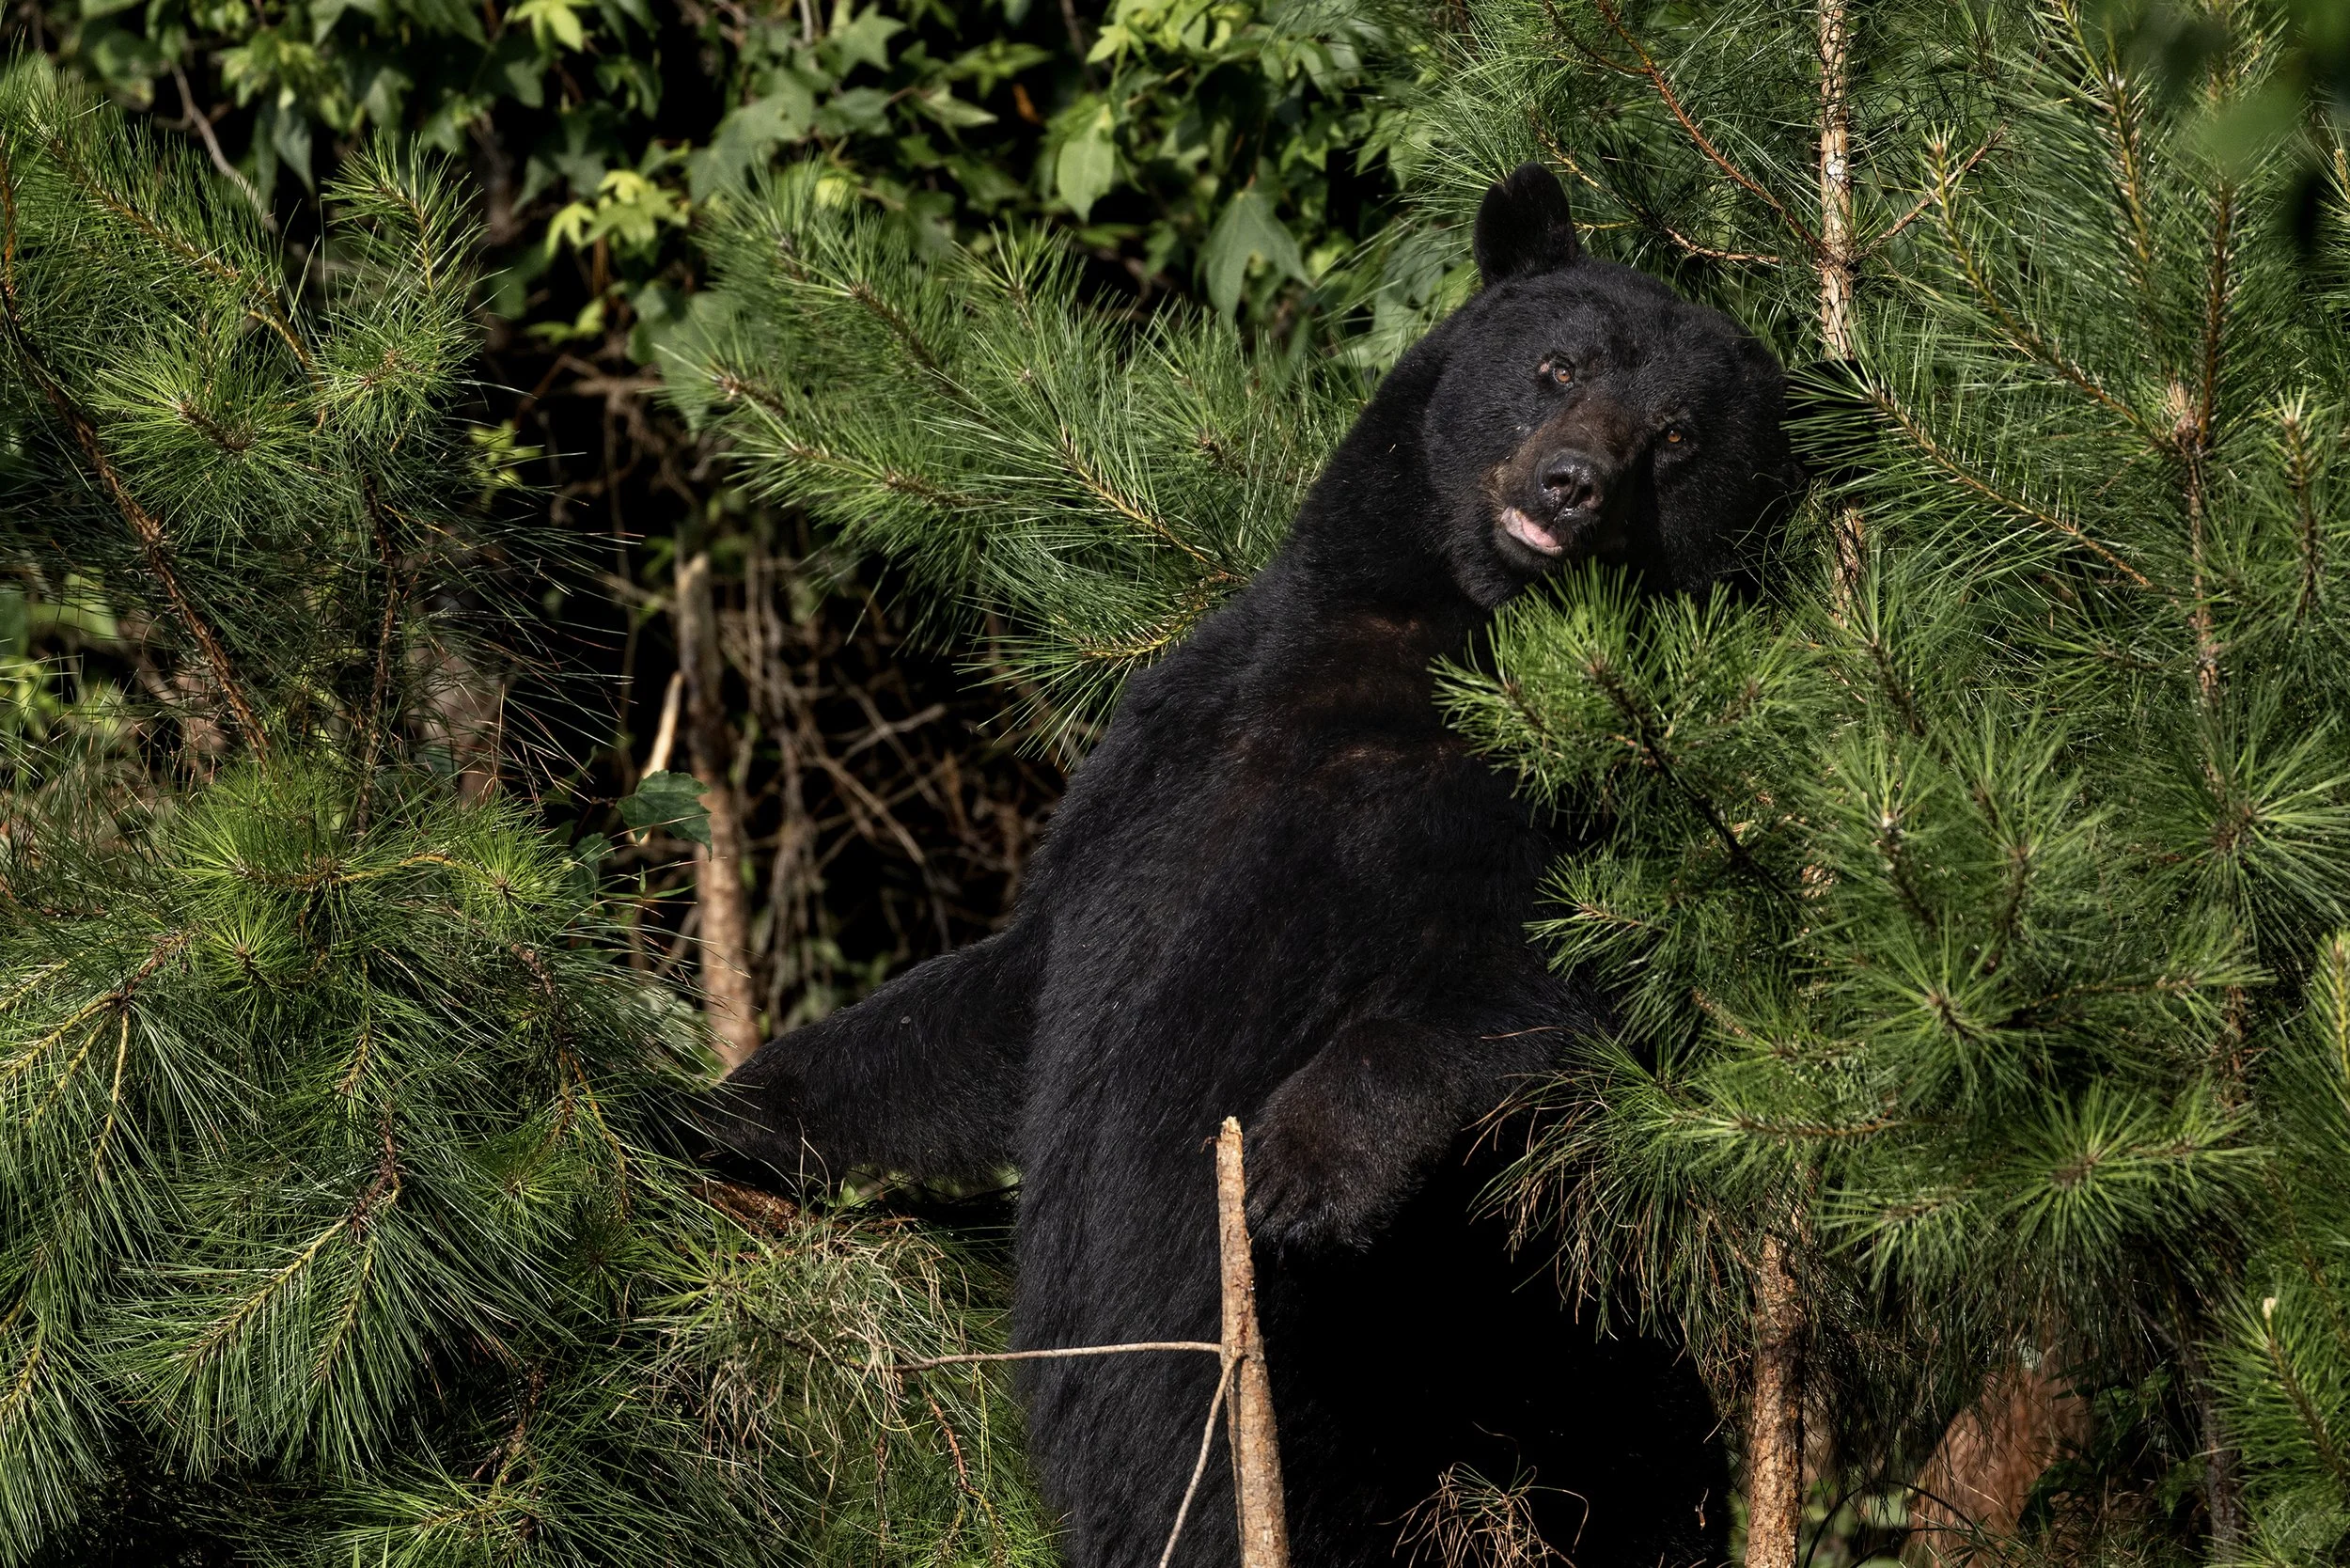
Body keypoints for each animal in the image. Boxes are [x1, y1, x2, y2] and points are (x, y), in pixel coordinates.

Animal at [706, 162, 1800, 1568]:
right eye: (1557, 366)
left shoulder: (1588, 816)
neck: (1425, 645)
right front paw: (719, 1112)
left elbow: (1550, 989)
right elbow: (1000, 998)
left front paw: (1298, 1163)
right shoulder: (1164, 751)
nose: (1571, 485)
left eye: (1674, 437)